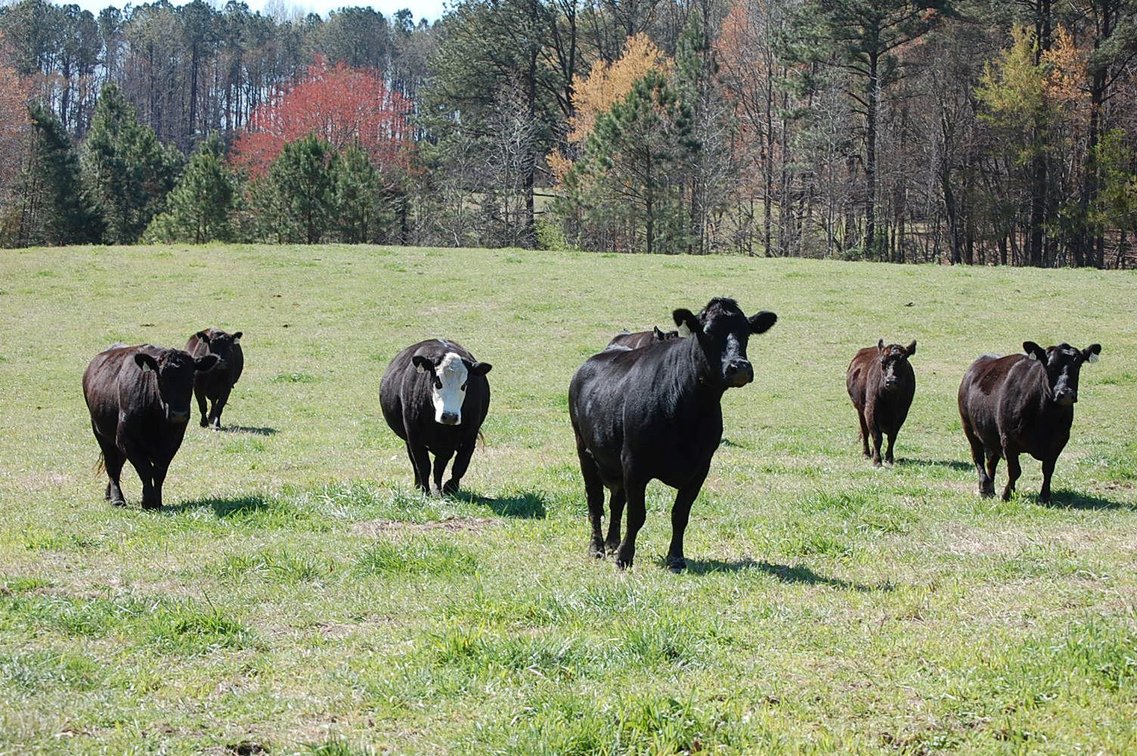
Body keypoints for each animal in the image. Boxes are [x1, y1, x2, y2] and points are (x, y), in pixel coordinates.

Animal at [82, 344, 219, 509]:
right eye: (161, 377)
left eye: (191, 376)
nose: (179, 414)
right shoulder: (126, 439)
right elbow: (145, 470)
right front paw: (147, 501)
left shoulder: (172, 443)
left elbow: (159, 472)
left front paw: (158, 501)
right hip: (101, 433)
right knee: (112, 466)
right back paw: (117, 498)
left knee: (118, 463)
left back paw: (109, 494)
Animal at [379, 339, 492, 496]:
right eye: (438, 382)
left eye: (464, 384)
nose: (449, 416)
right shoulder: (414, 436)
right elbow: (423, 465)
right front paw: (425, 491)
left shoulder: (470, 435)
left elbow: (459, 465)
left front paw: (449, 488)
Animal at [569, 298, 777, 571]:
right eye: (707, 332)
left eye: (747, 332)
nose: (739, 367)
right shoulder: (634, 463)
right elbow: (637, 515)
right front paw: (625, 557)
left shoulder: (700, 468)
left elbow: (680, 515)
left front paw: (676, 558)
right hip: (585, 451)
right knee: (595, 501)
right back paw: (598, 548)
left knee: (616, 501)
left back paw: (612, 542)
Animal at [958, 341, 1101, 503]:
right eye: (1050, 365)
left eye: (1078, 366)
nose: (1065, 394)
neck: (1045, 419)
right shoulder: (1008, 439)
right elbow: (1015, 471)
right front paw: (1007, 494)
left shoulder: (1060, 439)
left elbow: (1048, 468)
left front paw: (1045, 496)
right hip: (969, 428)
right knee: (978, 458)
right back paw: (984, 487)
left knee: (991, 462)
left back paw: (990, 488)